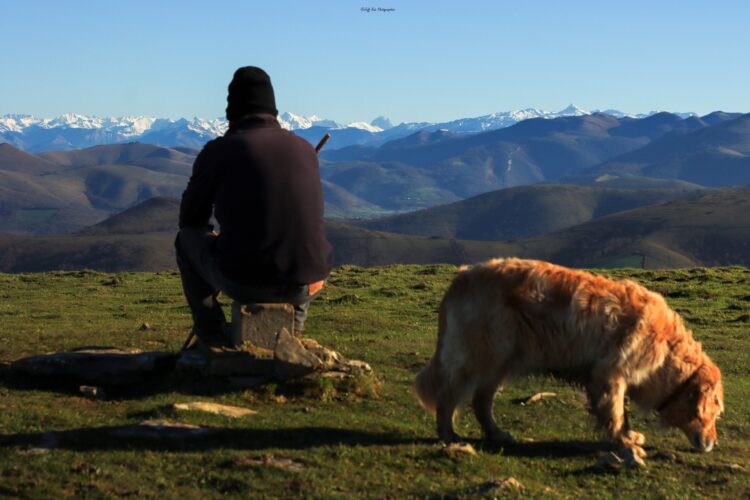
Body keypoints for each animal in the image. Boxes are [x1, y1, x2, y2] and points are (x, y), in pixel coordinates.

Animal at [414, 260, 724, 458]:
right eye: (715, 412)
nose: (713, 443)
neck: (668, 350)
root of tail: (462, 277)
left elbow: (619, 413)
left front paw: (629, 436)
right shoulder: (610, 375)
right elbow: (616, 413)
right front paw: (625, 442)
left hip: (499, 362)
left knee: (481, 401)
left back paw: (497, 434)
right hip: (478, 356)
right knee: (448, 394)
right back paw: (448, 434)